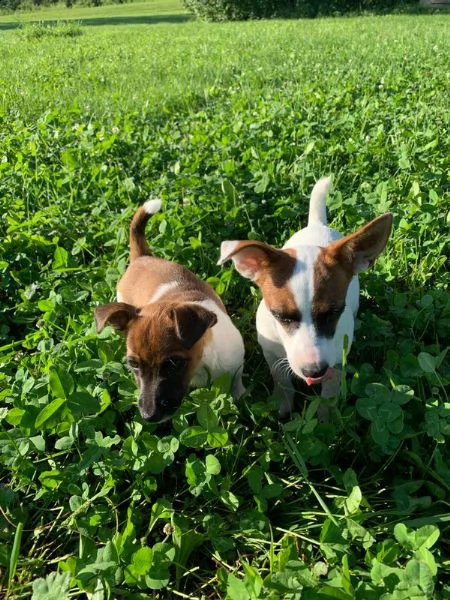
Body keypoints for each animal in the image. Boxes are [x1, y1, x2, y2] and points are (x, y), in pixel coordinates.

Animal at [93, 199, 244, 424]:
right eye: (133, 364)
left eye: (173, 363)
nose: (148, 416)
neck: (204, 362)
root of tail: (141, 258)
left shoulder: (235, 366)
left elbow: (237, 385)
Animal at [217, 173, 390, 418]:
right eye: (281, 317)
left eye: (334, 313)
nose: (314, 371)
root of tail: (317, 224)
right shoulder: (271, 353)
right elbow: (282, 381)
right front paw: (283, 405)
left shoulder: (335, 361)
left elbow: (329, 391)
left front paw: (326, 418)